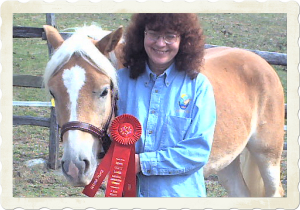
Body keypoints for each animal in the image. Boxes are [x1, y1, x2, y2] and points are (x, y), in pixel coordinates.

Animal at [42, 25, 284, 196]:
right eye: (53, 92)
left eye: (104, 91)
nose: (74, 166)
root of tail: (261, 62)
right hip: (228, 162)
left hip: (268, 157)